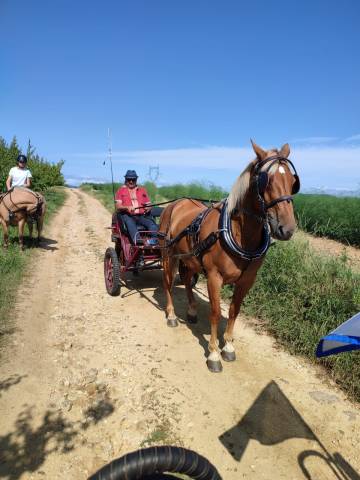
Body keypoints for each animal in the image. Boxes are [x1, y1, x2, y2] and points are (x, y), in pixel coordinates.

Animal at [159, 141, 300, 374]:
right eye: (265, 180)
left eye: (292, 181)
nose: (287, 229)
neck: (238, 233)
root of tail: (175, 204)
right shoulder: (214, 277)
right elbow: (216, 312)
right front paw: (214, 354)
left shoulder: (246, 281)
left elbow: (234, 311)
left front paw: (228, 347)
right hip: (168, 254)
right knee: (168, 283)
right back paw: (171, 315)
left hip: (189, 259)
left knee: (186, 281)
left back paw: (191, 311)